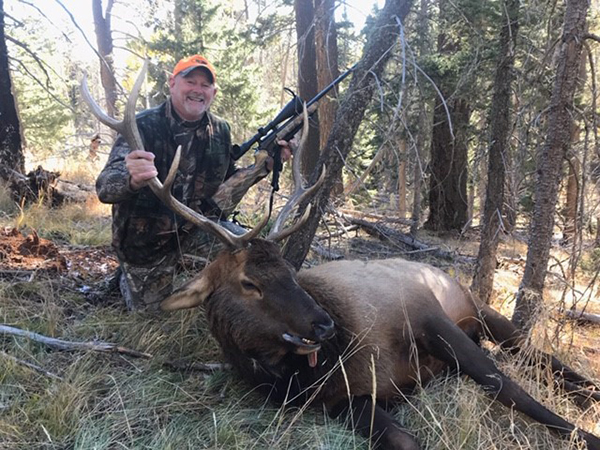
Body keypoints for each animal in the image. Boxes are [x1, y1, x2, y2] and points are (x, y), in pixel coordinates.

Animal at [81, 61, 600, 448]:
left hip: (479, 307)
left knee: (539, 358)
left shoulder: (426, 315)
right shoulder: (343, 403)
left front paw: (585, 436)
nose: (323, 325)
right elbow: (408, 439)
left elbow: (509, 388)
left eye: (292, 271)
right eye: (249, 283)